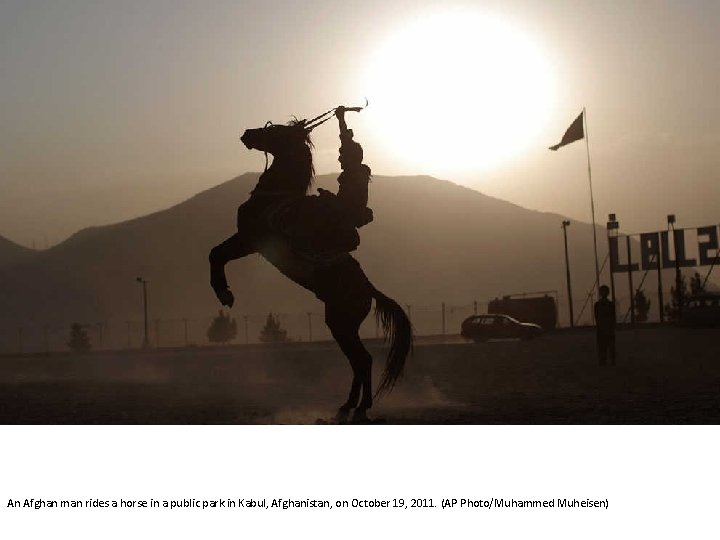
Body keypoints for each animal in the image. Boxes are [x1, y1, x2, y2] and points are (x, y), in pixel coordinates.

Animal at [208, 118, 410, 422]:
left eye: (273, 129)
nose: (247, 134)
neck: (275, 197)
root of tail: (369, 288)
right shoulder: (244, 239)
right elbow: (216, 253)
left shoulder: (249, 240)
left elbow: (216, 255)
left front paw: (224, 293)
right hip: (341, 325)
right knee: (356, 361)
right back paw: (347, 406)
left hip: (341, 323)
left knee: (362, 359)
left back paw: (361, 407)